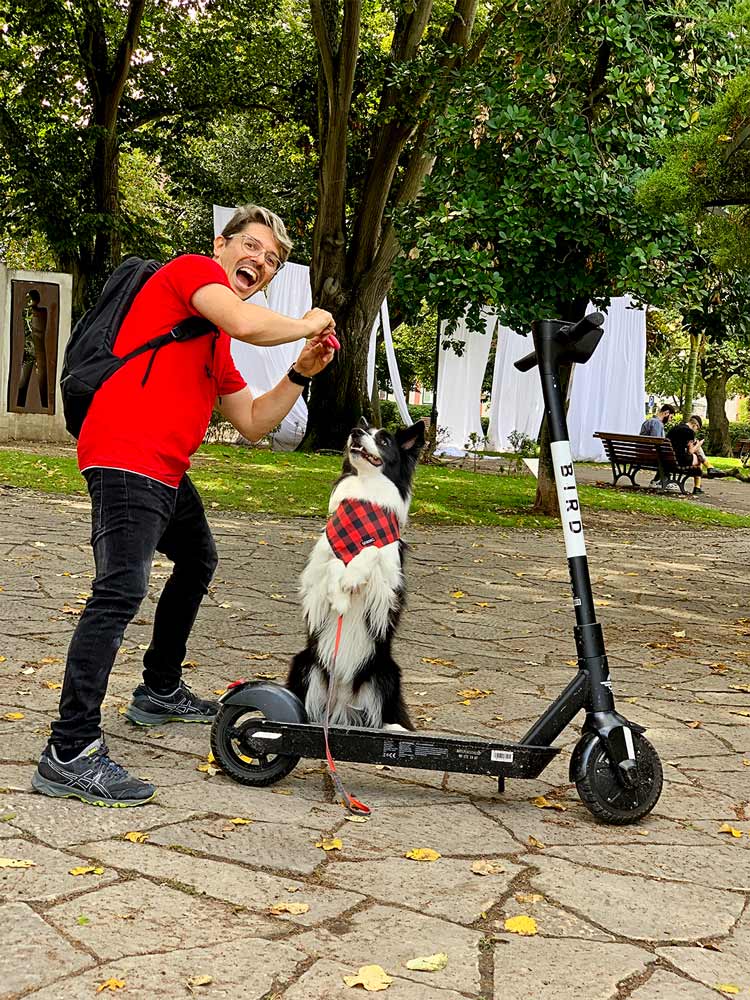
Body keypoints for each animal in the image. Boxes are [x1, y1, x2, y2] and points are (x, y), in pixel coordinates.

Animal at [290, 418, 426, 732]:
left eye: (384, 440)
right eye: (364, 429)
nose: (355, 432)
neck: (366, 494)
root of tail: (340, 704)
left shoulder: (389, 583)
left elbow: (372, 549)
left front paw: (351, 578)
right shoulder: (315, 571)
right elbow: (332, 562)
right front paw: (339, 593)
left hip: (385, 674)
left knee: (379, 719)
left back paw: (394, 728)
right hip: (305, 664)